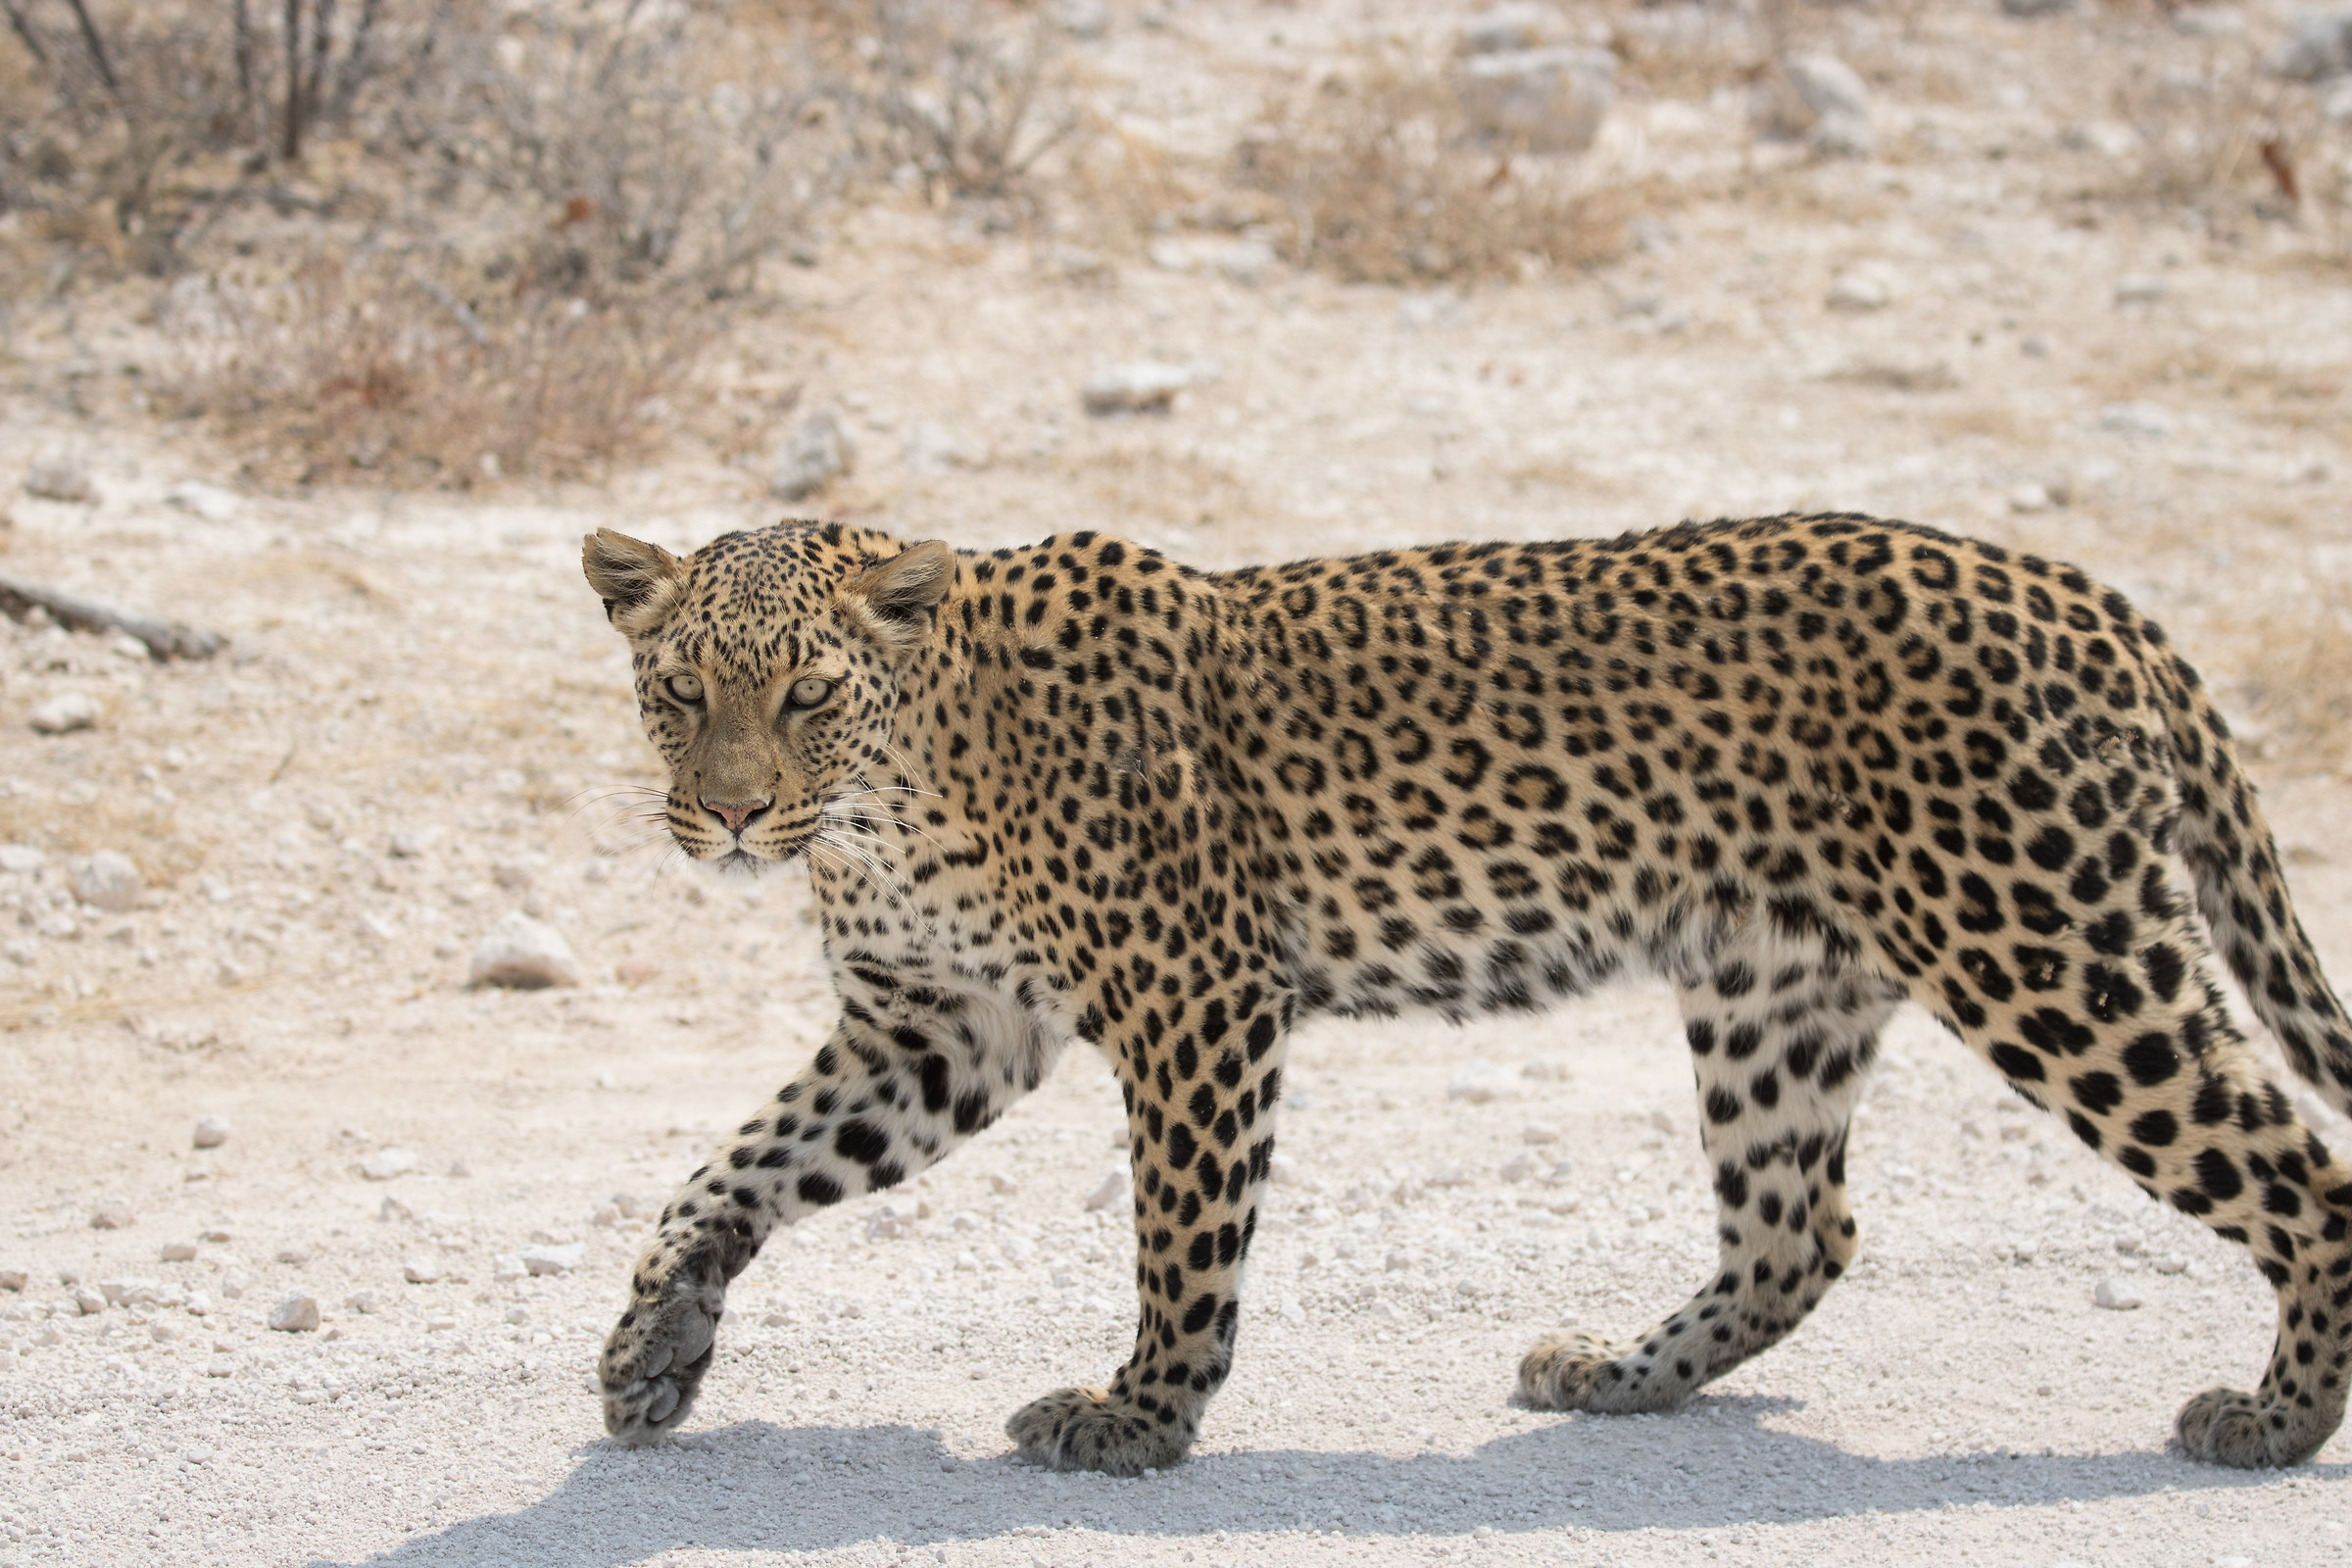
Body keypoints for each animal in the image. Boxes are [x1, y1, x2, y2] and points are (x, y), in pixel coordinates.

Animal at [581, 512, 2352, 1475]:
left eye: (806, 695)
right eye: (678, 693)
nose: (726, 816)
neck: (891, 800)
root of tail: (2078, 590)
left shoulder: (1198, 996)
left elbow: (1183, 1237)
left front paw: (1143, 1418)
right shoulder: (940, 1030)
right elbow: (726, 1174)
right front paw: (652, 1348)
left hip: (2048, 953)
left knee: (2304, 1180)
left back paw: (2275, 1425)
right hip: (1776, 982)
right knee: (1800, 1230)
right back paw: (1617, 1376)